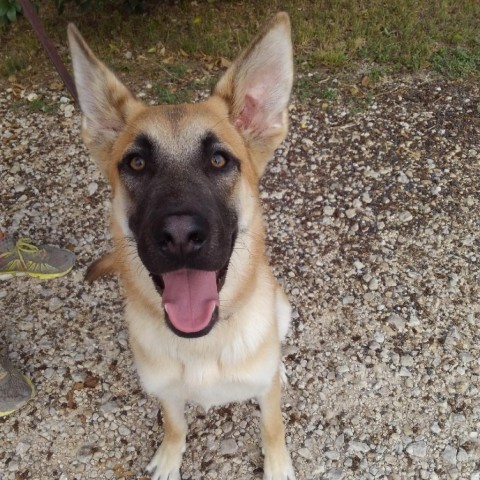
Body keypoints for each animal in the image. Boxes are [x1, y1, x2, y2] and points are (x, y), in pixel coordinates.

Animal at [66, 12, 294, 480]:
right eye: (136, 163)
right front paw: (170, 459)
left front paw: (278, 465)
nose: (180, 236)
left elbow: (273, 427)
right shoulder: (167, 393)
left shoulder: (264, 395)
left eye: (219, 160)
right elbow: (175, 425)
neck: (202, 341)